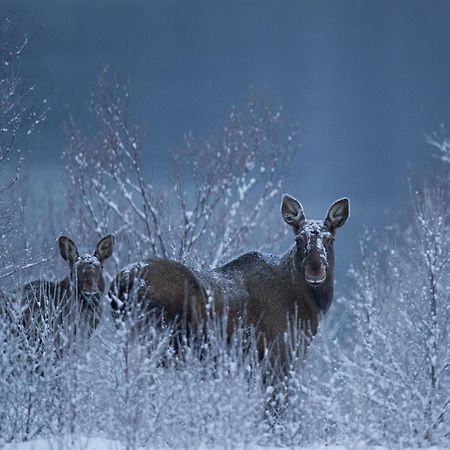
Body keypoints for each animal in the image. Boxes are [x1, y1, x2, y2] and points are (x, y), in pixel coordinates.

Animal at [109, 196, 348, 366]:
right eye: (298, 239)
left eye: (330, 239)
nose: (315, 269)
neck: (309, 309)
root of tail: (120, 282)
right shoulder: (278, 358)